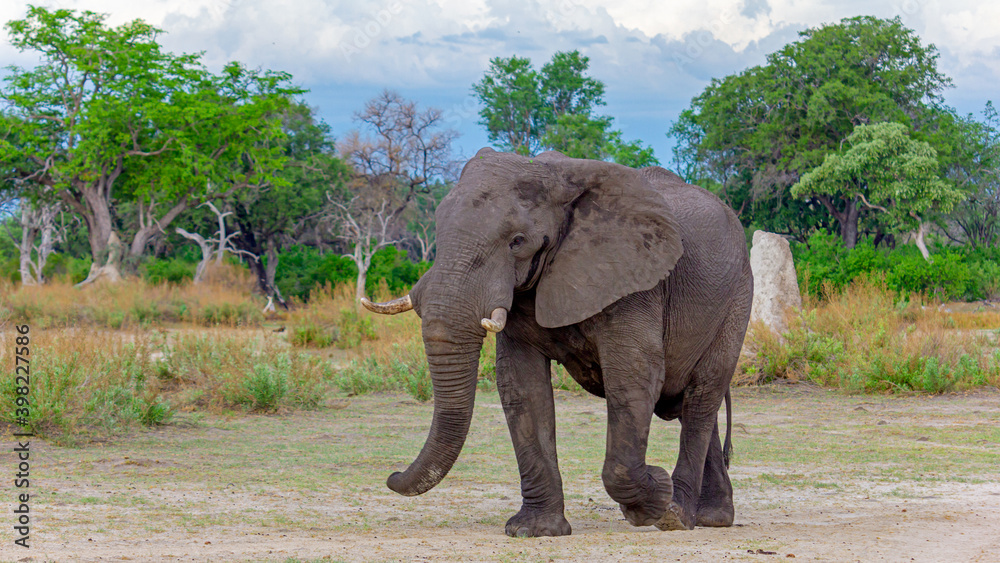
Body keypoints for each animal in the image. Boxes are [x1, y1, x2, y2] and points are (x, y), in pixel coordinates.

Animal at [361, 148, 753, 537]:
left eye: (518, 241)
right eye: (438, 231)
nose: (392, 476)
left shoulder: (634, 280)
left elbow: (633, 375)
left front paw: (654, 497)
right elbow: (523, 387)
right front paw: (535, 530)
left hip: (737, 299)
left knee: (702, 397)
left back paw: (677, 516)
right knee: (693, 404)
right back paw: (712, 517)